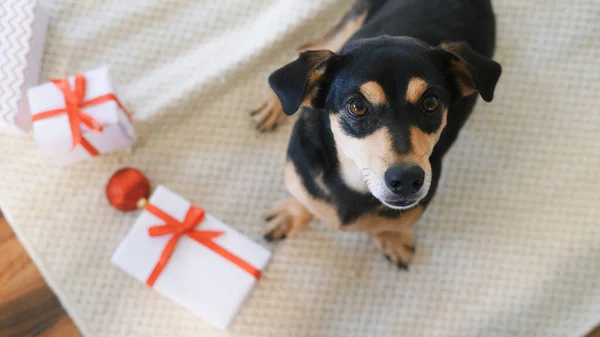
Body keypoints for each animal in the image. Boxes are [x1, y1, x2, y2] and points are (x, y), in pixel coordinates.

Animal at [251, 0, 504, 268]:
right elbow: (305, 199)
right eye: (357, 106)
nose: (406, 180)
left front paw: (392, 238)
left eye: (431, 103)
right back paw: (274, 105)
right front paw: (290, 214)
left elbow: (392, 224)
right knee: (307, 49)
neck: (354, 180)